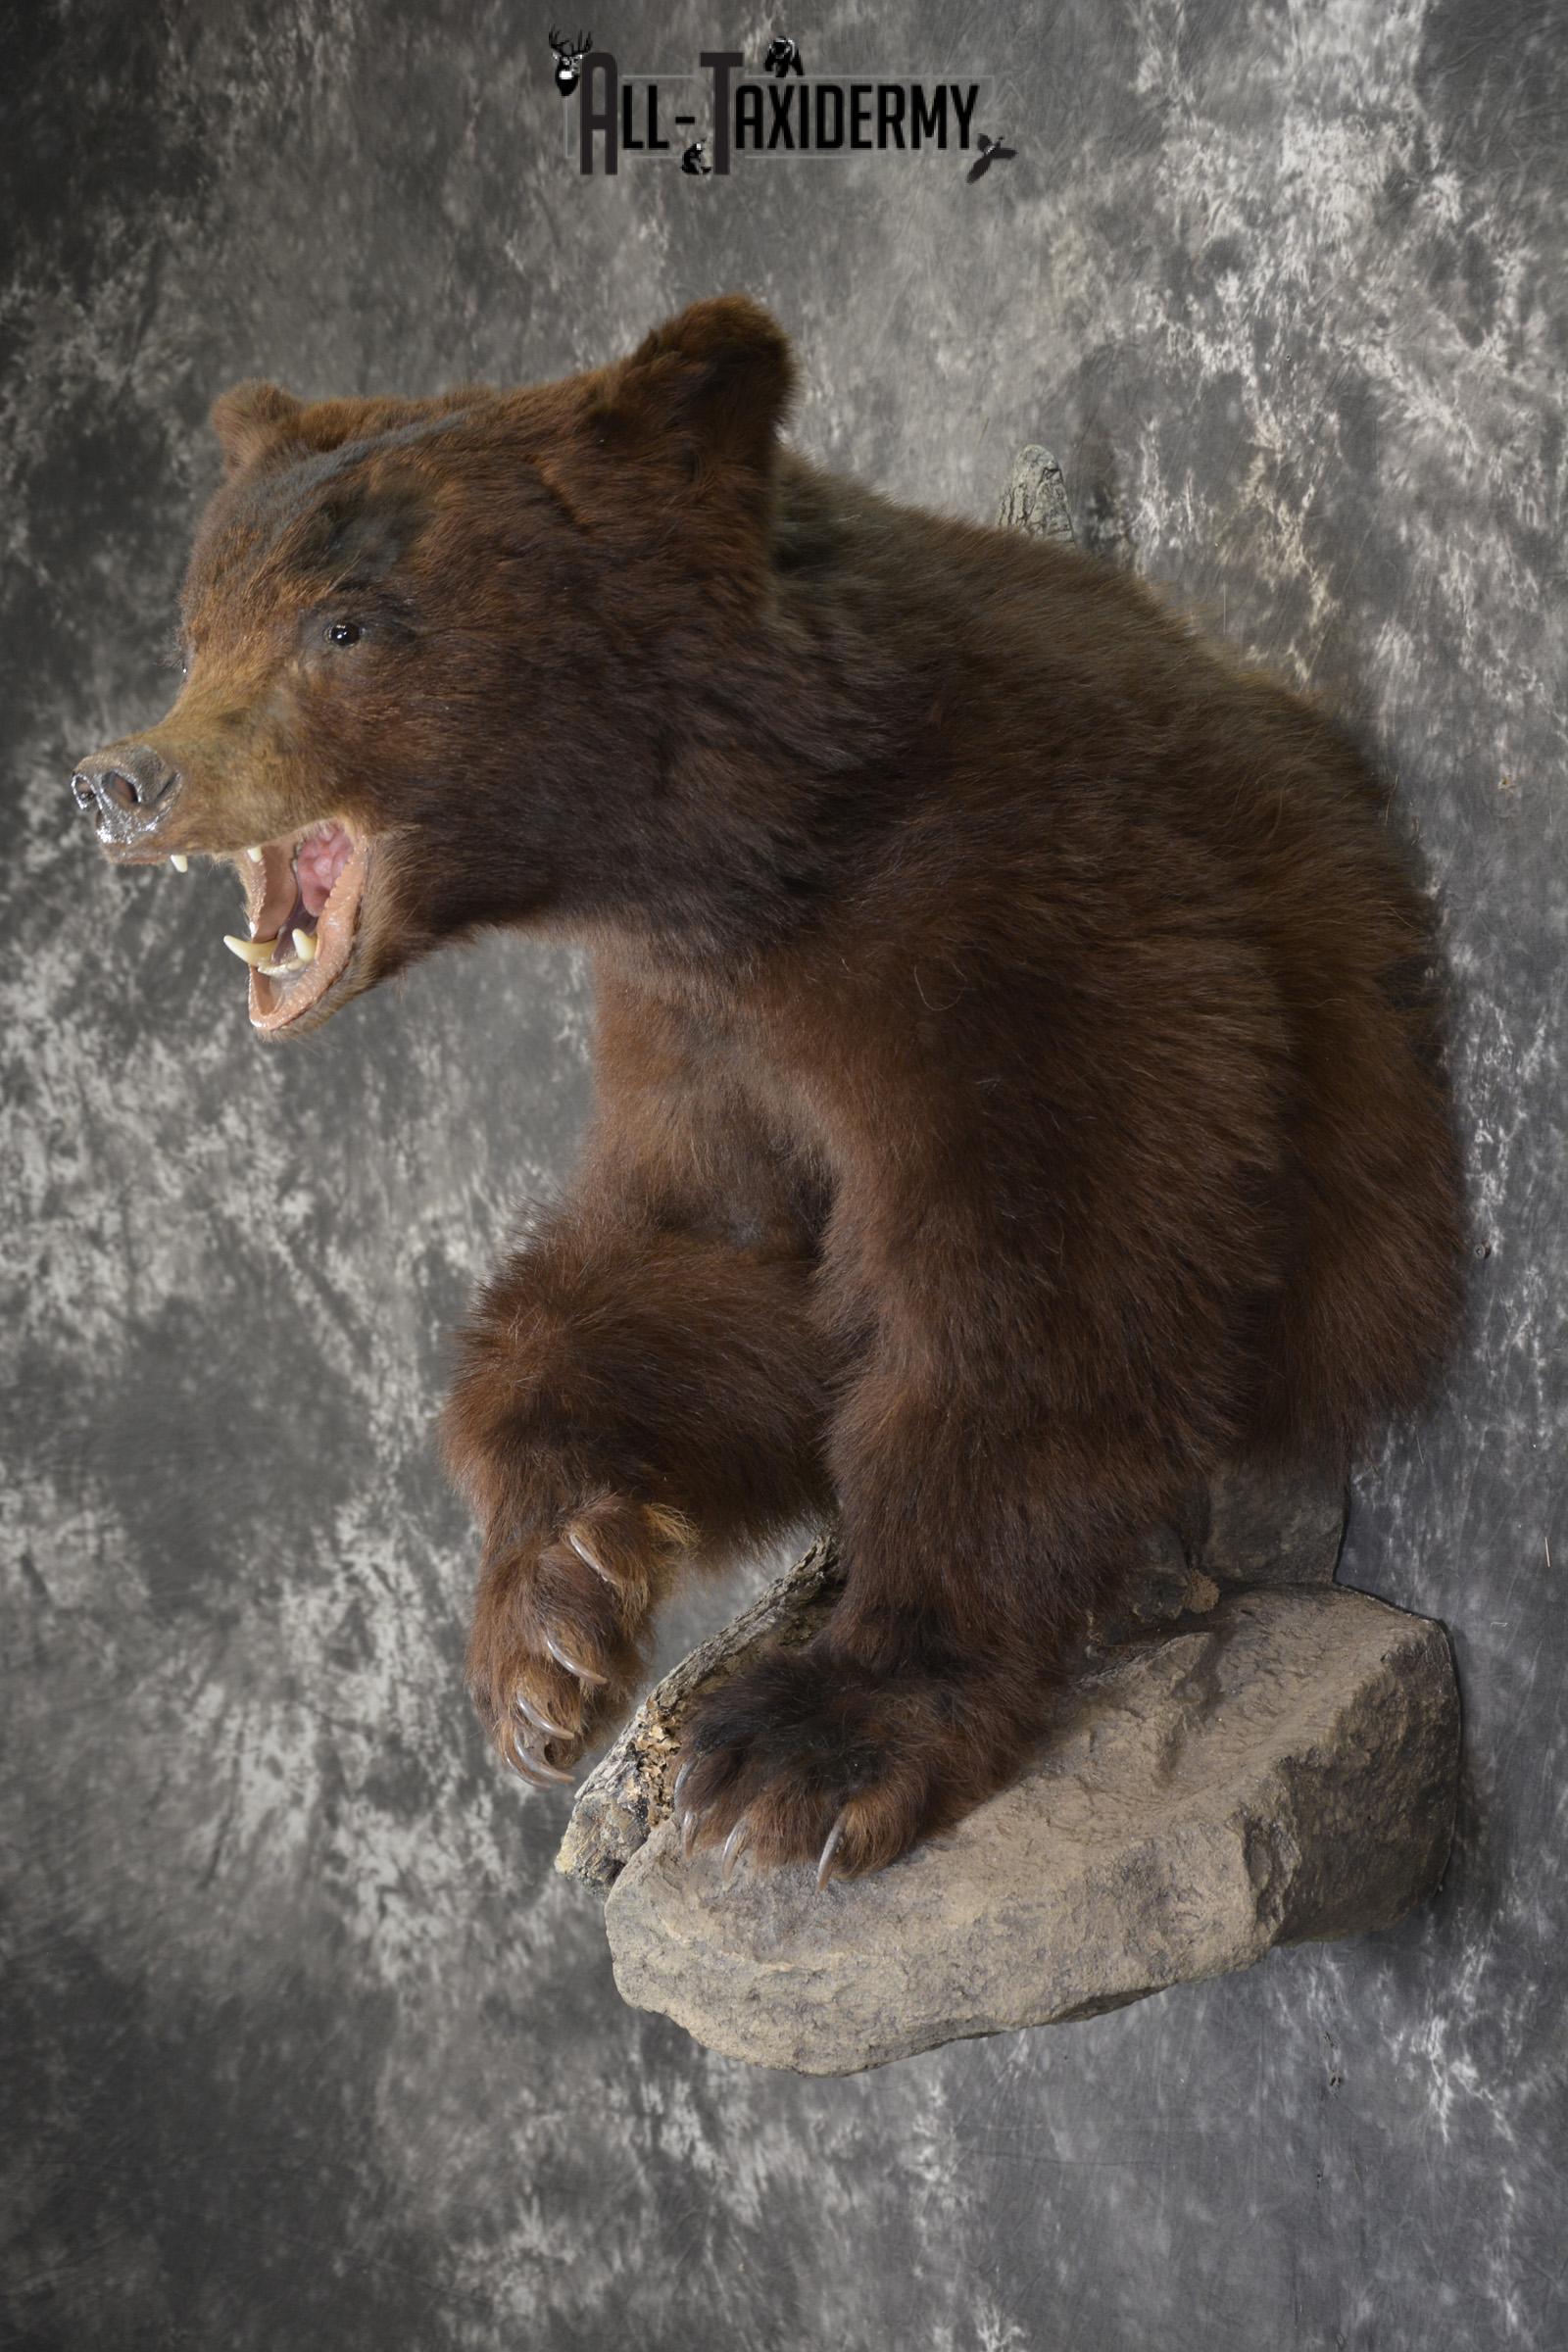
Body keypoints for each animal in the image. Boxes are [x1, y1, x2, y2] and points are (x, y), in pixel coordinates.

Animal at [71, 295, 1466, 1884]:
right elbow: (727, 1272)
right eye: (198, 626)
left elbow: (1034, 1288)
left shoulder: (1026, 920)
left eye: (344, 625)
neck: (748, 852)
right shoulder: (698, 1030)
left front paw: (815, 1740)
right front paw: (552, 1620)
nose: (119, 779)